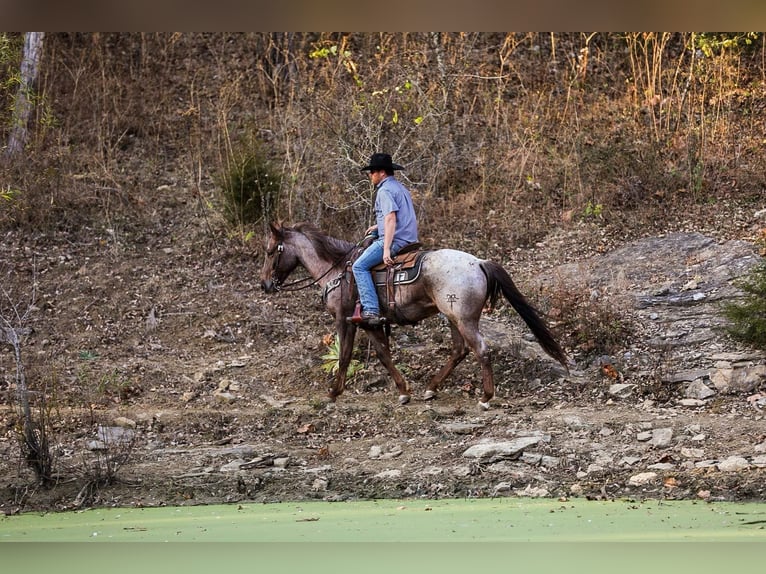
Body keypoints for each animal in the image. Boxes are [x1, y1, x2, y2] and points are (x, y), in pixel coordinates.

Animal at [259, 221, 568, 409]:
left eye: (270, 251)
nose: (265, 285)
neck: (337, 270)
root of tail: (479, 262)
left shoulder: (343, 319)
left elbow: (345, 355)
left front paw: (334, 393)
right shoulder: (370, 323)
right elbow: (384, 355)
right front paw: (404, 391)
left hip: (463, 319)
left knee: (480, 349)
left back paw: (485, 397)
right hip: (452, 317)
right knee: (459, 350)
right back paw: (431, 388)